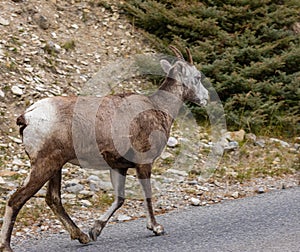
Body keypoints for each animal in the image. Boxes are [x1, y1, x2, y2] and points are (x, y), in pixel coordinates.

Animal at [0, 46, 209, 251]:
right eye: (198, 77)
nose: (206, 97)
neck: (160, 109)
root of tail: (27, 117)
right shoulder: (144, 163)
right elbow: (146, 195)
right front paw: (156, 228)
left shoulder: (119, 167)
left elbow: (119, 199)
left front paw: (95, 230)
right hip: (45, 164)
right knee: (16, 200)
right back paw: (6, 246)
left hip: (55, 167)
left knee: (53, 199)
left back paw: (82, 236)